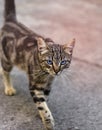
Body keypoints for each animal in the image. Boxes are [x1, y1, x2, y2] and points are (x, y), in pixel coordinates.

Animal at [0, 0, 75, 129]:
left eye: (63, 62)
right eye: (49, 61)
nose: (56, 71)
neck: (47, 75)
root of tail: (11, 21)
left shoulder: (48, 86)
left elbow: (44, 101)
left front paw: (41, 114)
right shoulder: (35, 86)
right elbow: (42, 104)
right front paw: (48, 122)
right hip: (7, 59)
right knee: (5, 72)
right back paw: (9, 88)